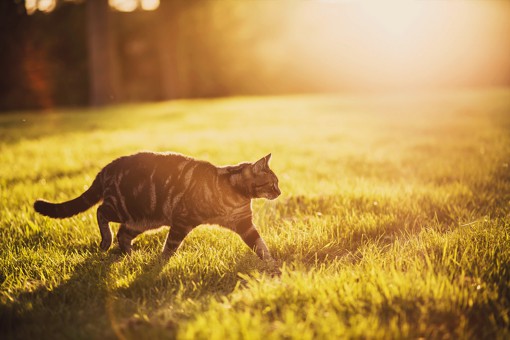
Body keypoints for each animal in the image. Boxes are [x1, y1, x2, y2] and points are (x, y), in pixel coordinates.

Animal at [33, 151, 280, 260]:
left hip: (143, 220)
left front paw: (271, 266)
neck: (236, 195)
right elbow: (170, 246)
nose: (279, 192)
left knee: (123, 233)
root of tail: (107, 167)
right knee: (100, 212)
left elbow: (261, 245)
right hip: (124, 207)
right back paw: (106, 242)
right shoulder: (182, 220)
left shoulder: (244, 224)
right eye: (272, 183)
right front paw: (162, 262)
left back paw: (129, 255)